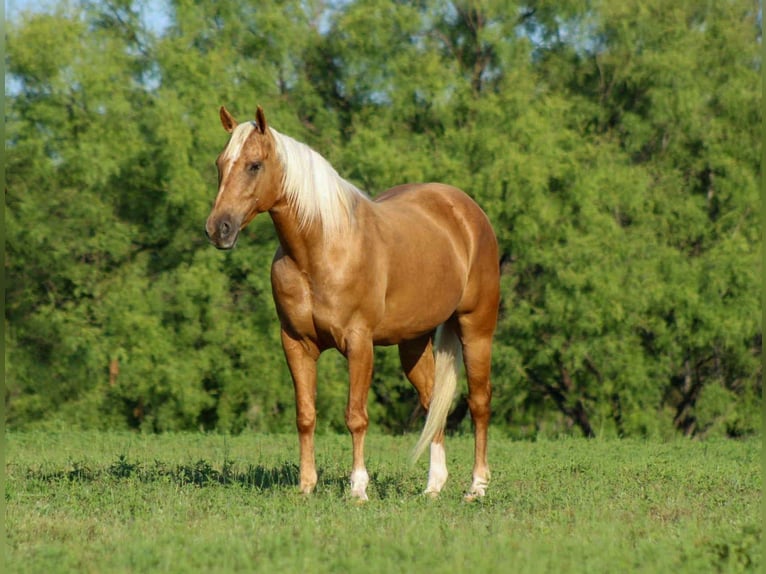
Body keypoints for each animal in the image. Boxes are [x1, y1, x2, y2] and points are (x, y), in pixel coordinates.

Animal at [205, 106, 500, 501]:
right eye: (221, 163)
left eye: (254, 165)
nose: (218, 228)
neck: (320, 248)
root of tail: (466, 211)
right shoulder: (296, 343)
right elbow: (305, 415)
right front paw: (306, 486)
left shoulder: (359, 343)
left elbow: (356, 416)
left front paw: (358, 487)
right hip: (413, 342)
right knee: (432, 402)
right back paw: (433, 486)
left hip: (476, 328)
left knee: (479, 403)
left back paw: (477, 486)